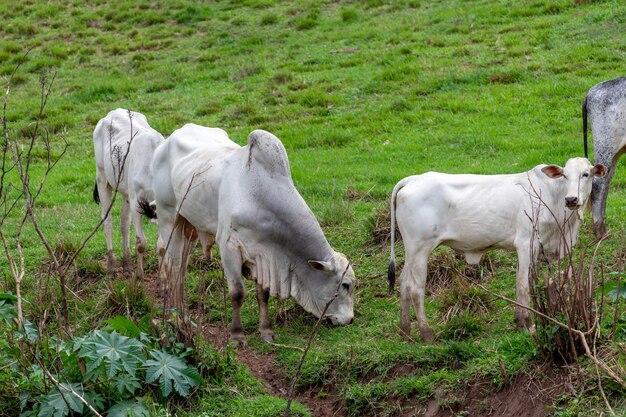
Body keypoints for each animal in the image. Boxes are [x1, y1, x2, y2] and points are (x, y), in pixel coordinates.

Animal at [92, 108, 165, 276]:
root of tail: (112, 112)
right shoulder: (136, 201)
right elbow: (141, 242)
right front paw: (140, 275)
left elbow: (161, 246)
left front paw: (163, 278)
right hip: (102, 177)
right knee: (107, 220)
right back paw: (112, 265)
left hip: (125, 192)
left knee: (124, 222)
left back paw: (126, 263)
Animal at [152, 124, 354, 344]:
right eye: (345, 285)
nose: (350, 319)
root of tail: (168, 139)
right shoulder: (228, 247)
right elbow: (237, 293)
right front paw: (236, 335)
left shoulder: (263, 255)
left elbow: (262, 294)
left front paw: (266, 331)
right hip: (168, 217)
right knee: (174, 268)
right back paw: (176, 315)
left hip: (189, 226)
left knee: (182, 270)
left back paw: (185, 318)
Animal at [388, 158, 604, 340]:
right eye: (564, 175)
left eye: (586, 174)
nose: (571, 199)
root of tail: (415, 179)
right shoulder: (526, 244)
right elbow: (524, 285)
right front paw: (529, 324)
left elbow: (526, 283)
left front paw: (520, 322)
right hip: (420, 249)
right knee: (416, 288)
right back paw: (426, 333)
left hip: (411, 251)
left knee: (404, 283)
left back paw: (405, 330)